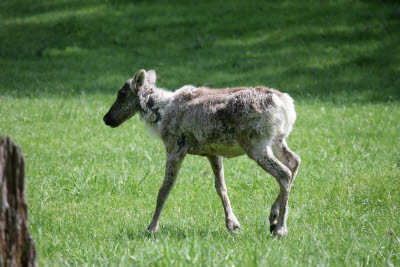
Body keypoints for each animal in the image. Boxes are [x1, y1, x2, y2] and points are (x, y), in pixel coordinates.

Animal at [103, 69, 300, 239]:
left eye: (121, 93)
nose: (106, 118)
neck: (160, 114)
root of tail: (286, 105)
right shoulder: (213, 152)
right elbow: (221, 187)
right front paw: (232, 224)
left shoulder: (174, 147)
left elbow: (165, 189)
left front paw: (151, 228)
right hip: (277, 140)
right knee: (294, 162)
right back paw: (273, 219)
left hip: (256, 144)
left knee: (284, 173)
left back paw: (280, 229)